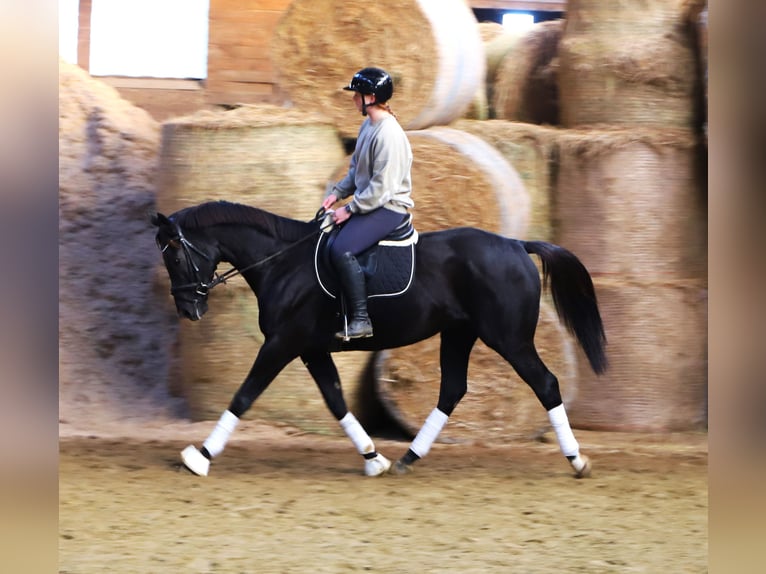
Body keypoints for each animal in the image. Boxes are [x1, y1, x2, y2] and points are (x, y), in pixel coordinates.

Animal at [151, 200, 607, 478]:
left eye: (173, 255)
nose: (188, 310)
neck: (283, 263)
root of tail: (516, 244)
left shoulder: (282, 344)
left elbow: (243, 396)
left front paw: (199, 457)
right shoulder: (311, 349)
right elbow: (336, 400)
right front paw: (373, 458)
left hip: (509, 339)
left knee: (546, 384)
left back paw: (576, 460)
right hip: (459, 334)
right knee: (452, 390)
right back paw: (408, 458)